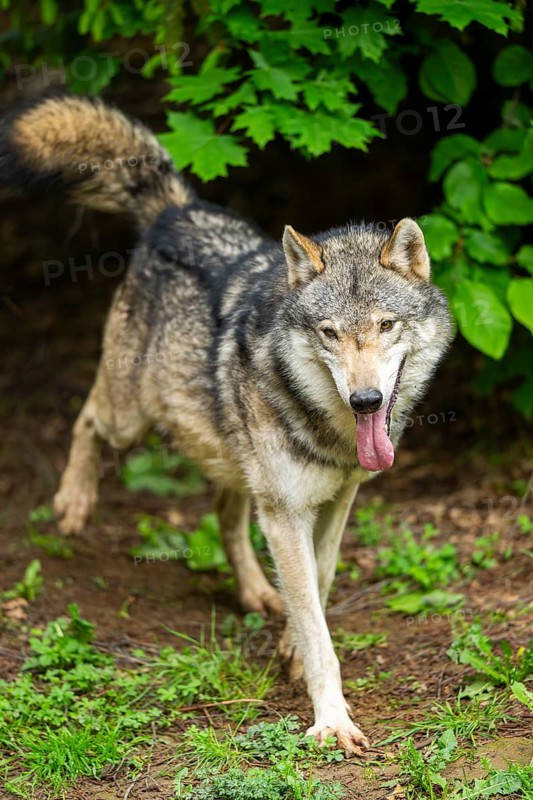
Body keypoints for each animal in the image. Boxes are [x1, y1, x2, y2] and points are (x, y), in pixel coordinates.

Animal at [0, 95, 453, 753]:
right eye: (329, 334)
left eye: (386, 326)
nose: (366, 400)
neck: (328, 428)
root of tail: (177, 209)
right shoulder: (286, 511)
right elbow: (317, 626)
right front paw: (331, 719)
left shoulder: (338, 499)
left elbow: (320, 580)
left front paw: (290, 639)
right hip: (130, 418)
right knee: (86, 419)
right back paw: (74, 504)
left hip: (235, 462)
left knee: (224, 512)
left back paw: (257, 592)